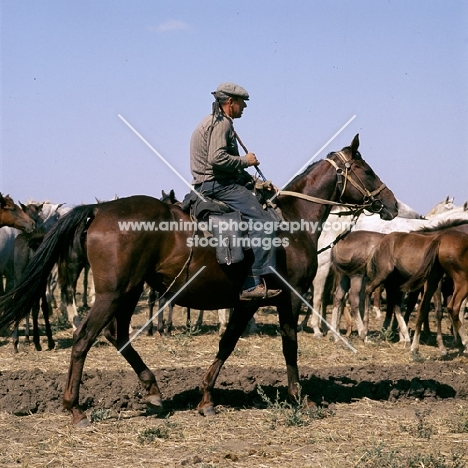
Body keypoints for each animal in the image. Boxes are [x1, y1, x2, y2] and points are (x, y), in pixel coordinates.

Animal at [0, 133, 398, 426]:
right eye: (366, 170)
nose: (391, 204)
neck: (291, 220)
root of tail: (98, 209)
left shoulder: (246, 303)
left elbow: (227, 344)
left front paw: (206, 398)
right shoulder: (287, 298)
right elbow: (289, 346)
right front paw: (299, 397)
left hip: (128, 293)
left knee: (118, 335)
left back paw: (153, 391)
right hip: (112, 294)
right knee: (84, 339)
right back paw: (75, 408)